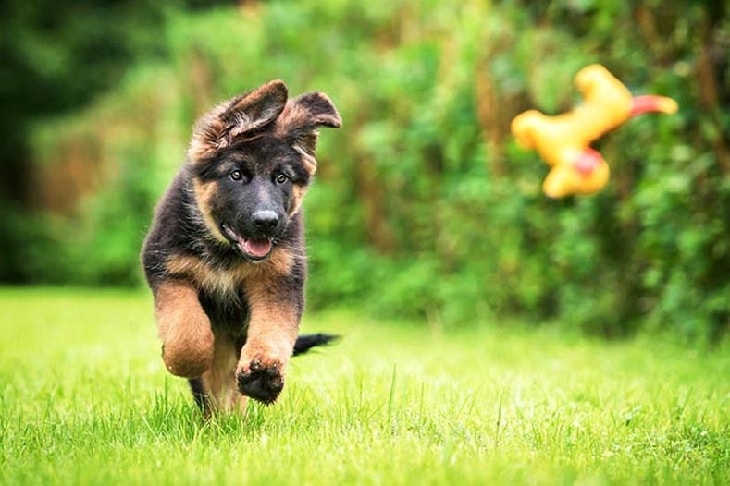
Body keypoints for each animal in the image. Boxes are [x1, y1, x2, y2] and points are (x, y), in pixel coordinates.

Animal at [141, 80, 342, 414]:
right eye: (236, 175)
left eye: (281, 178)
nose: (267, 222)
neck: (227, 252)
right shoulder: (168, 270)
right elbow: (186, 331)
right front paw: (183, 360)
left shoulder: (278, 279)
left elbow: (273, 328)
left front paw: (264, 374)